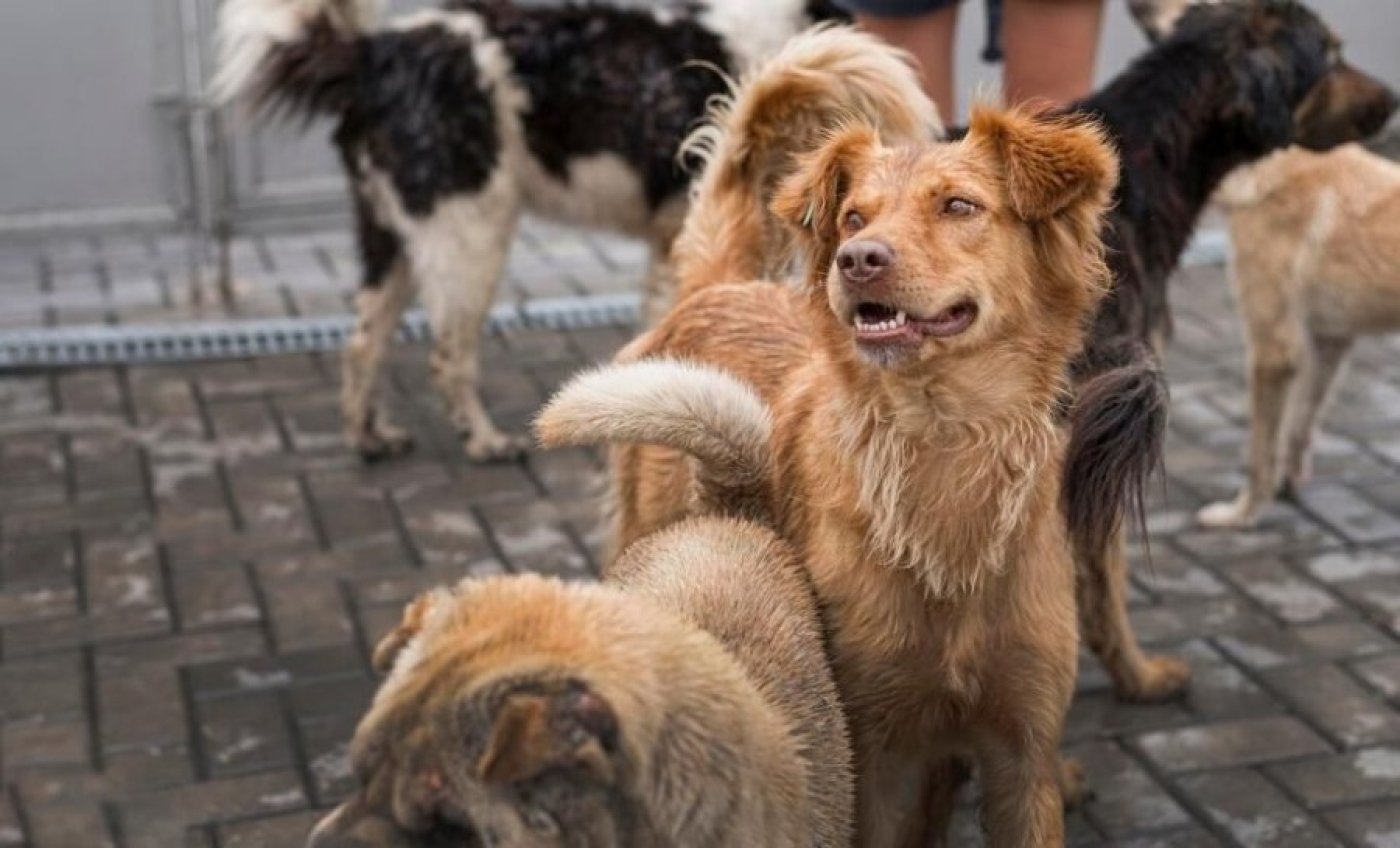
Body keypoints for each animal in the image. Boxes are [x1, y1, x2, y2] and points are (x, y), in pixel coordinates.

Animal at [214, 0, 845, 464]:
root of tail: (375, 56)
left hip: (393, 238)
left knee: (363, 342)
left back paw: (370, 438)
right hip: (469, 236)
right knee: (447, 355)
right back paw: (484, 441)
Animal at [585, 23, 1120, 845]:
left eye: (959, 206)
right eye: (854, 218)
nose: (858, 260)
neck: (940, 443)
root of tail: (718, 287)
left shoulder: (1021, 755)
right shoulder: (867, 753)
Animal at [1192, 146, 1400, 531]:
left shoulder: (1272, 351)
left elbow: (1260, 456)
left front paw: (1241, 515)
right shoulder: (1328, 342)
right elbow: (1298, 427)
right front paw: (1287, 485)